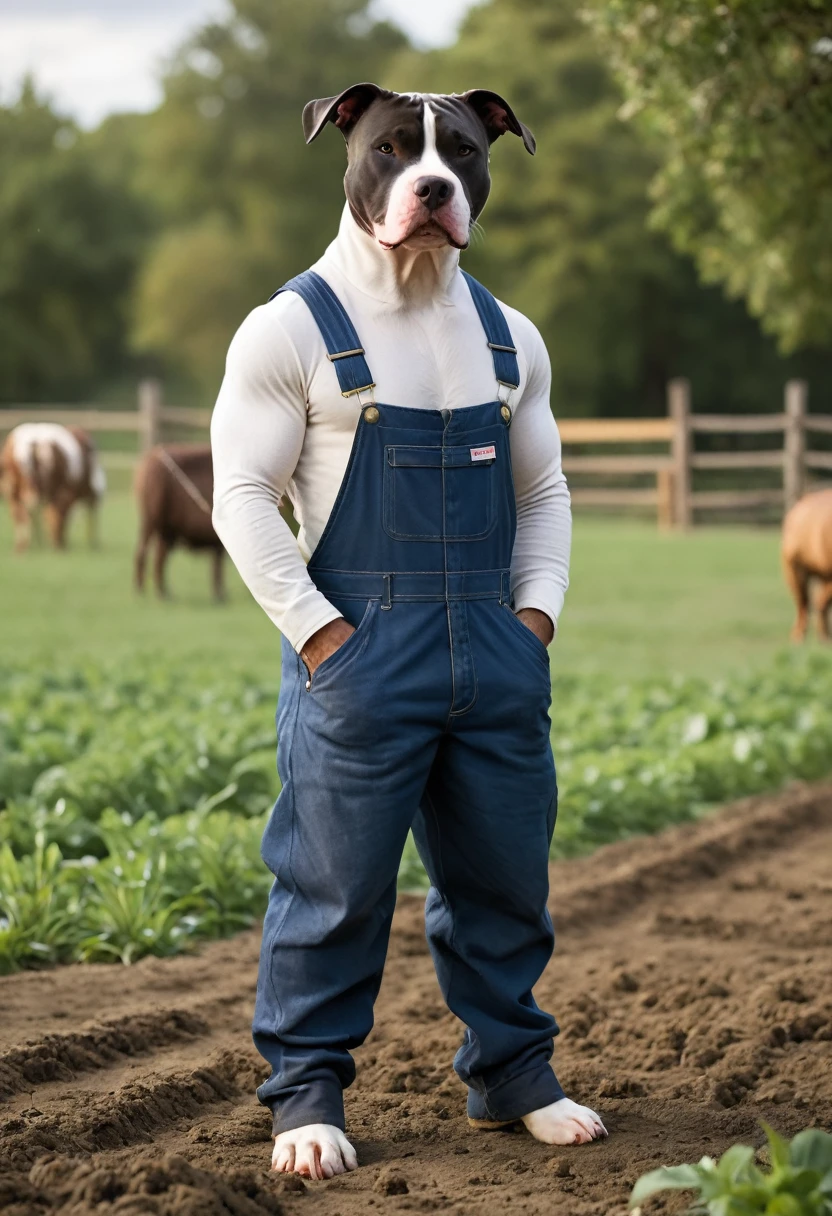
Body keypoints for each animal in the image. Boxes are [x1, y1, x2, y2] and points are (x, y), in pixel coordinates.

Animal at [0, 418, 107, 552]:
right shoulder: (65, 492)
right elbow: (57, 515)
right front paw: (57, 544)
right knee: (33, 510)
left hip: (14, 487)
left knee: (20, 512)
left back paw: (24, 546)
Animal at [133, 445, 226, 600]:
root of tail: (152, 457)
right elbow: (218, 568)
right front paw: (221, 597)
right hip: (155, 524)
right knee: (151, 555)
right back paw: (157, 593)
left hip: (161, 530)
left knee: (152, 555)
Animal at [211, 83, 603, 1177]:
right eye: (390, 148)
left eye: (459, 149)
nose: (431, 190)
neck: (417, 290)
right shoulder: (260, 363)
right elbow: (247, 485)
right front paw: (309, 1126)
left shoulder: (533, 381)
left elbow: (541, 474)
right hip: (348, 739)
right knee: (328, 907)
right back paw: (309, 1130)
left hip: (498, 744)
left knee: (498, 899)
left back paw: (533, 1103)